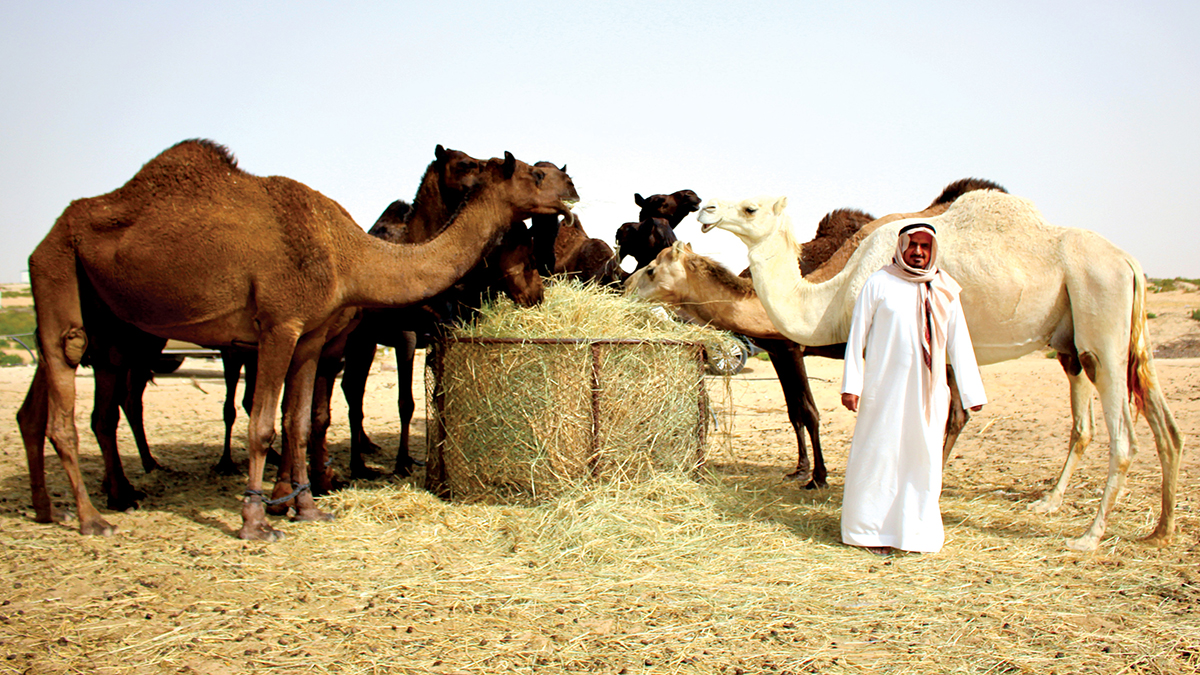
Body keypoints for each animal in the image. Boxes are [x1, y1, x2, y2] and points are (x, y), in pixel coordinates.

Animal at [16, 138, 578, 540]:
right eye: (535, 174)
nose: (572, 187)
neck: (350, 254)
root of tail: (49, 233)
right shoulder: (280, 325)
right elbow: (265, 424)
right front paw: (256, 520)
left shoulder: (312, 337)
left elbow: (300, 421)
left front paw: (306, 507)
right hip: (58, 273)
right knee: (70, 396)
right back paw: (94, 518)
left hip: (95, 306)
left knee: (49, 407)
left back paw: (56, 507)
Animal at [700, 186, 1185, 550]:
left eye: (750, 207)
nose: (706, 208)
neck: (834, 294)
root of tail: (1130, 262)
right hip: (1125, 335)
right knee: (1166, 426)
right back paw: (1158, 530)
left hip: (1100, 321)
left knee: (1124, 436)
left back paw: (1089, 536)